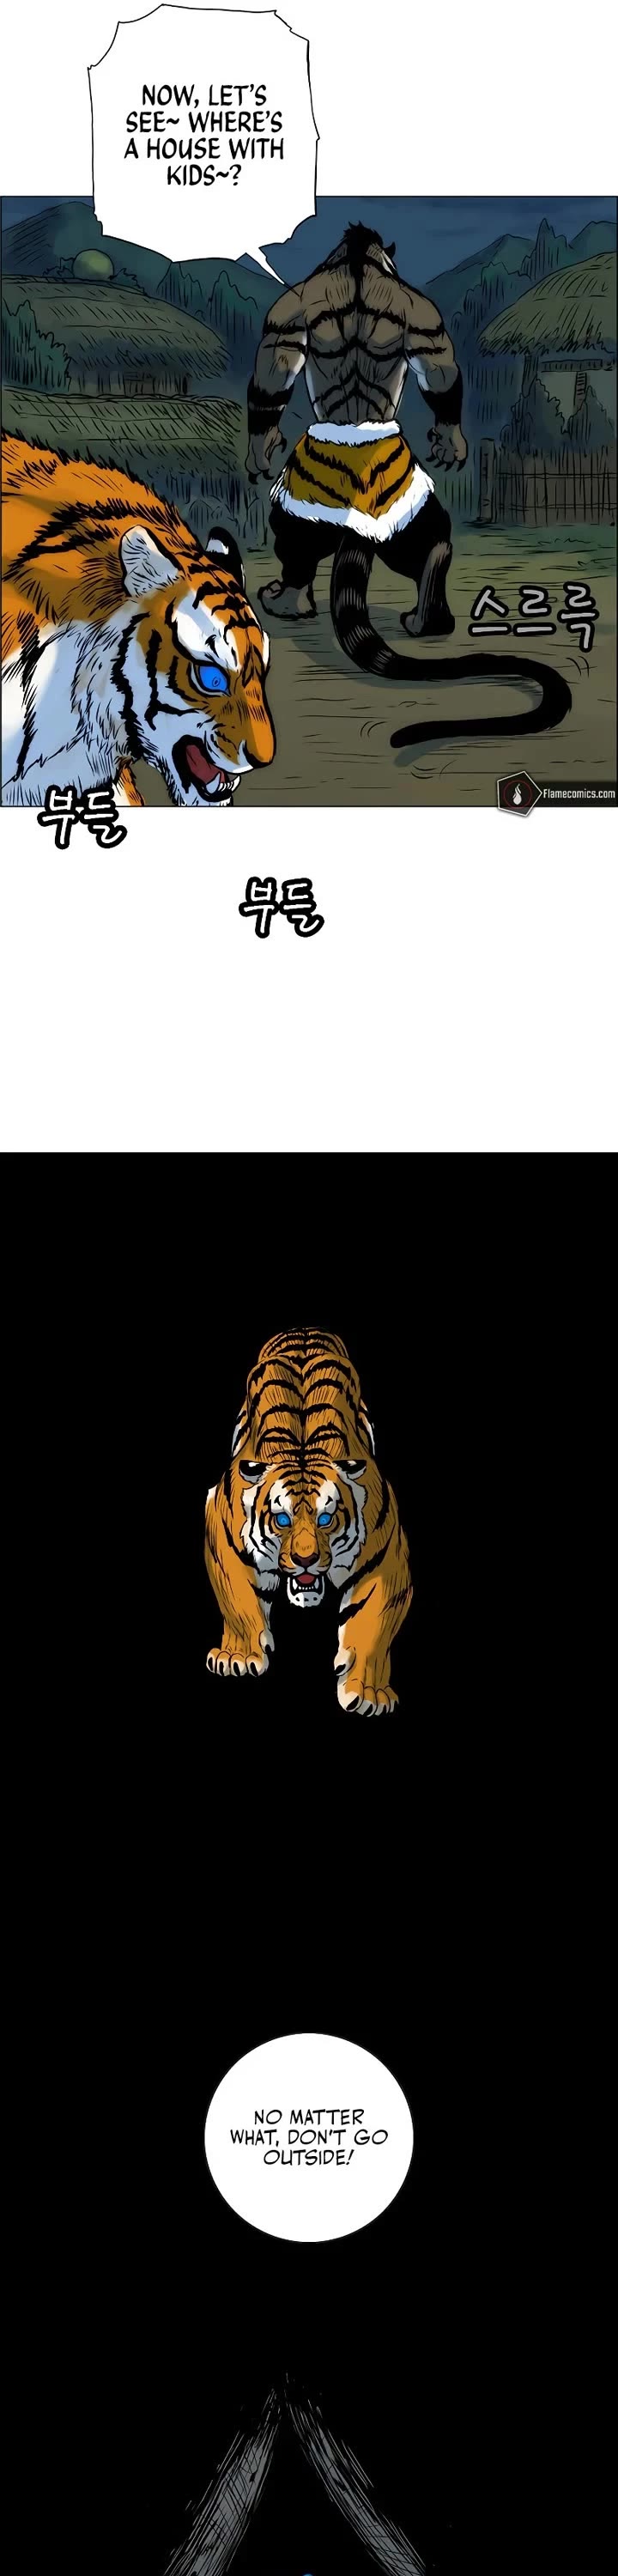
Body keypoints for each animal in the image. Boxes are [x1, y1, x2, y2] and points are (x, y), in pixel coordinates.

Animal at [205, 1328, 412, 1715]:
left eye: (326, 1518)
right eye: (282, 1519)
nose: (305, 1560)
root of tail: (303, 1329)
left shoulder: (386, 1559)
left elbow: (373, 1625)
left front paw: (368, 1693)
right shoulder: (221, 1531)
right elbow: (238, 1600)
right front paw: (237, 1657)